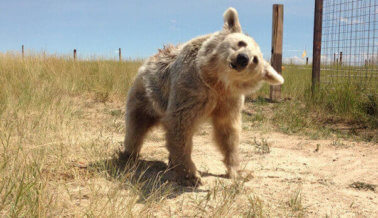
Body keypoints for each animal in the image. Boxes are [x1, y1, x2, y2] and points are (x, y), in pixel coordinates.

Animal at [122, 8, 284, 186]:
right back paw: (129, 155)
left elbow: (228, 132)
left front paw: (236, 171)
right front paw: (192, 175)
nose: (243, 58)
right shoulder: (191, 88)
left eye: (255, 60)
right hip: (146, 94)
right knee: (136, 126)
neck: (216, 80)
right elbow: (181, 124)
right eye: (241, 43)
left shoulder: (229, 100)